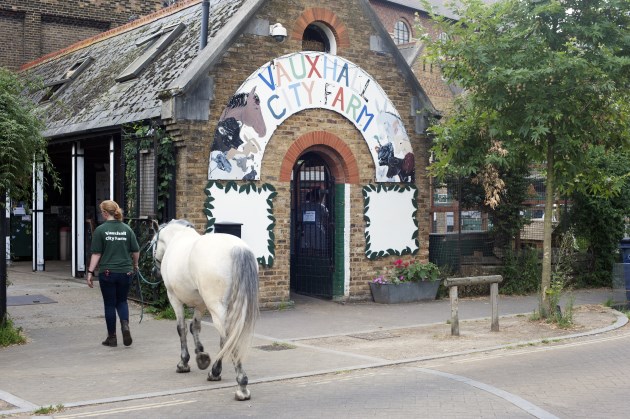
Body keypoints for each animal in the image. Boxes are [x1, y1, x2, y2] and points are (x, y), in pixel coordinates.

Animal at [153, 220, 260, 400]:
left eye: (152, 243)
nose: (154, 271)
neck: (177, 238)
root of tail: (237, 248)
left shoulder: (174, 298)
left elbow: (181, 328)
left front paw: (184, 362)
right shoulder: (201, 304)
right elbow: (194, 326)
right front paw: (201, 355)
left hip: (217, 308)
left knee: (227, 336)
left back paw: (237, 383)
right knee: (227, 338)